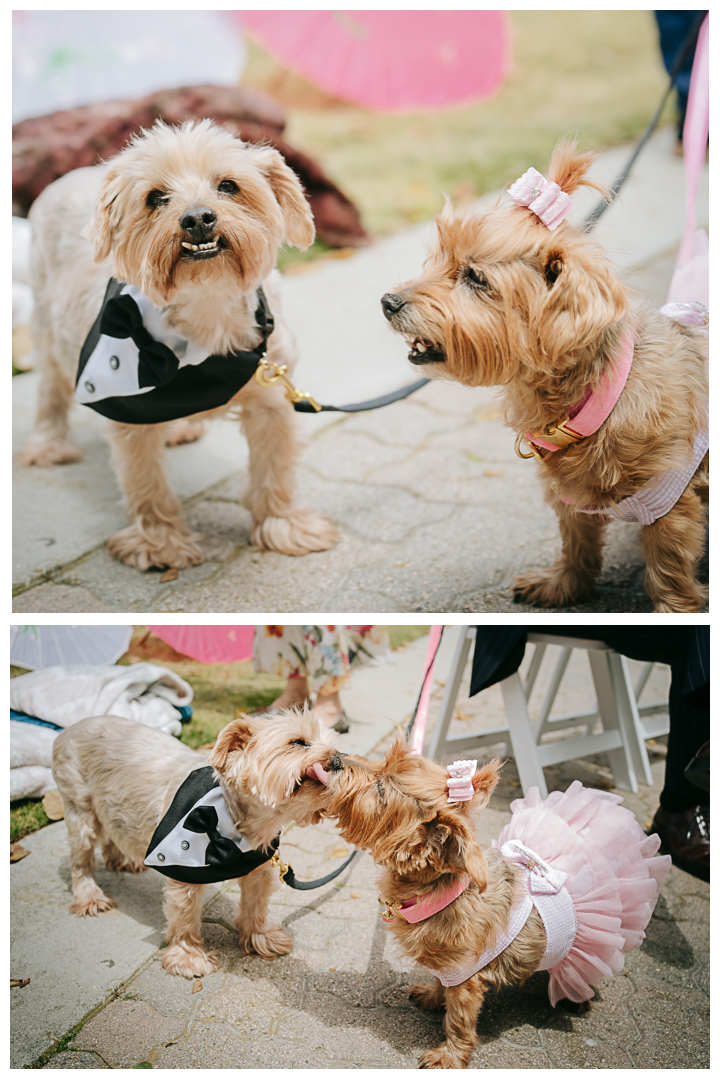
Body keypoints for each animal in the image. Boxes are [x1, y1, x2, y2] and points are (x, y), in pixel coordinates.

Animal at [21, 119, 338, 570]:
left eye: (228, 186)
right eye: (155, 197)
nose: (198, 218)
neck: (208, 308)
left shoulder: (272, 399)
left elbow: (274, 470)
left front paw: (284, 525)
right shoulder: (129, 410)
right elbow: (146, 483)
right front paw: (160, 545)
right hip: (46, 324)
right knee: (50, 389)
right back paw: (48, 444)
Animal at [53, 708, 341, 980]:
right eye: (298, 742)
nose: (339, 759)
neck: (237, 820)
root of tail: (70, 728)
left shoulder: (258, 866)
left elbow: (256, 905)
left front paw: (259, 938)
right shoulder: (182, 868)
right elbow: (185, 916)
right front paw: (188, 958)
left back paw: (121, 861)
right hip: (80, 807)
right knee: (81, 858)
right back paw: (89, 897)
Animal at [315, 743, 669, 1071]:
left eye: (381, 787)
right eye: (379, 765)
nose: (335, 758)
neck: (442, 893)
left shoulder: (466, 977)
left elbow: (458, 1020)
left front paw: (449, 1056)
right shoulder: (450, 969)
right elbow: (441, 984)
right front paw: (433, 996)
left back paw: (578, 997)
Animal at [379, 139, 708, 613]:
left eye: (475, 278)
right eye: (438, 260)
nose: (388, 302)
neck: (595, 397)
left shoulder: (672, 506)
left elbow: (668, 572)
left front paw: (672, 612)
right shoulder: (569, 496)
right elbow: (576, 543)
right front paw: (565, 585)